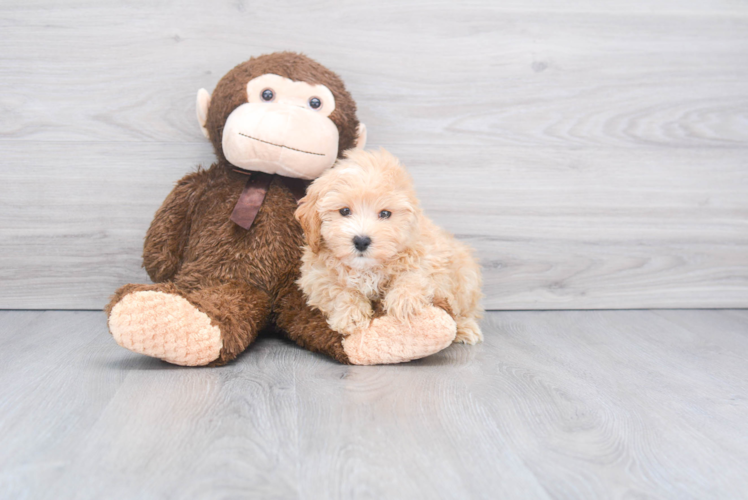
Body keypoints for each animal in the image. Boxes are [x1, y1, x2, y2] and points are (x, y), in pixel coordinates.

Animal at [296, 147, 482, 344]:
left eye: (385, 214)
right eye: (344, 211)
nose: (361, 241)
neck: (366, 269)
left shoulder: (431, 256)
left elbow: (416, 274)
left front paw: (404, 300)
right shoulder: (315, 277)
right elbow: (337, 290)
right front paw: (351, 314)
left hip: (465, 275)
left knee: (460, 308)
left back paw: (465, 327)